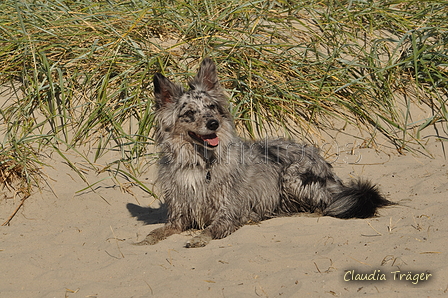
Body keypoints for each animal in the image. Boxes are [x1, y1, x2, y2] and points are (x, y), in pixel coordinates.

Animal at [134, 57, 392, 248]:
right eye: (189, 113)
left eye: (211, 107)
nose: (214, 123)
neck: (199, 164)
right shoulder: (180, 214)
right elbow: (161, 229)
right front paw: (146, 239)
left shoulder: (228, 213)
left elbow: (213, 228)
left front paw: (200, 238)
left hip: (292, 176)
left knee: (323, 206)